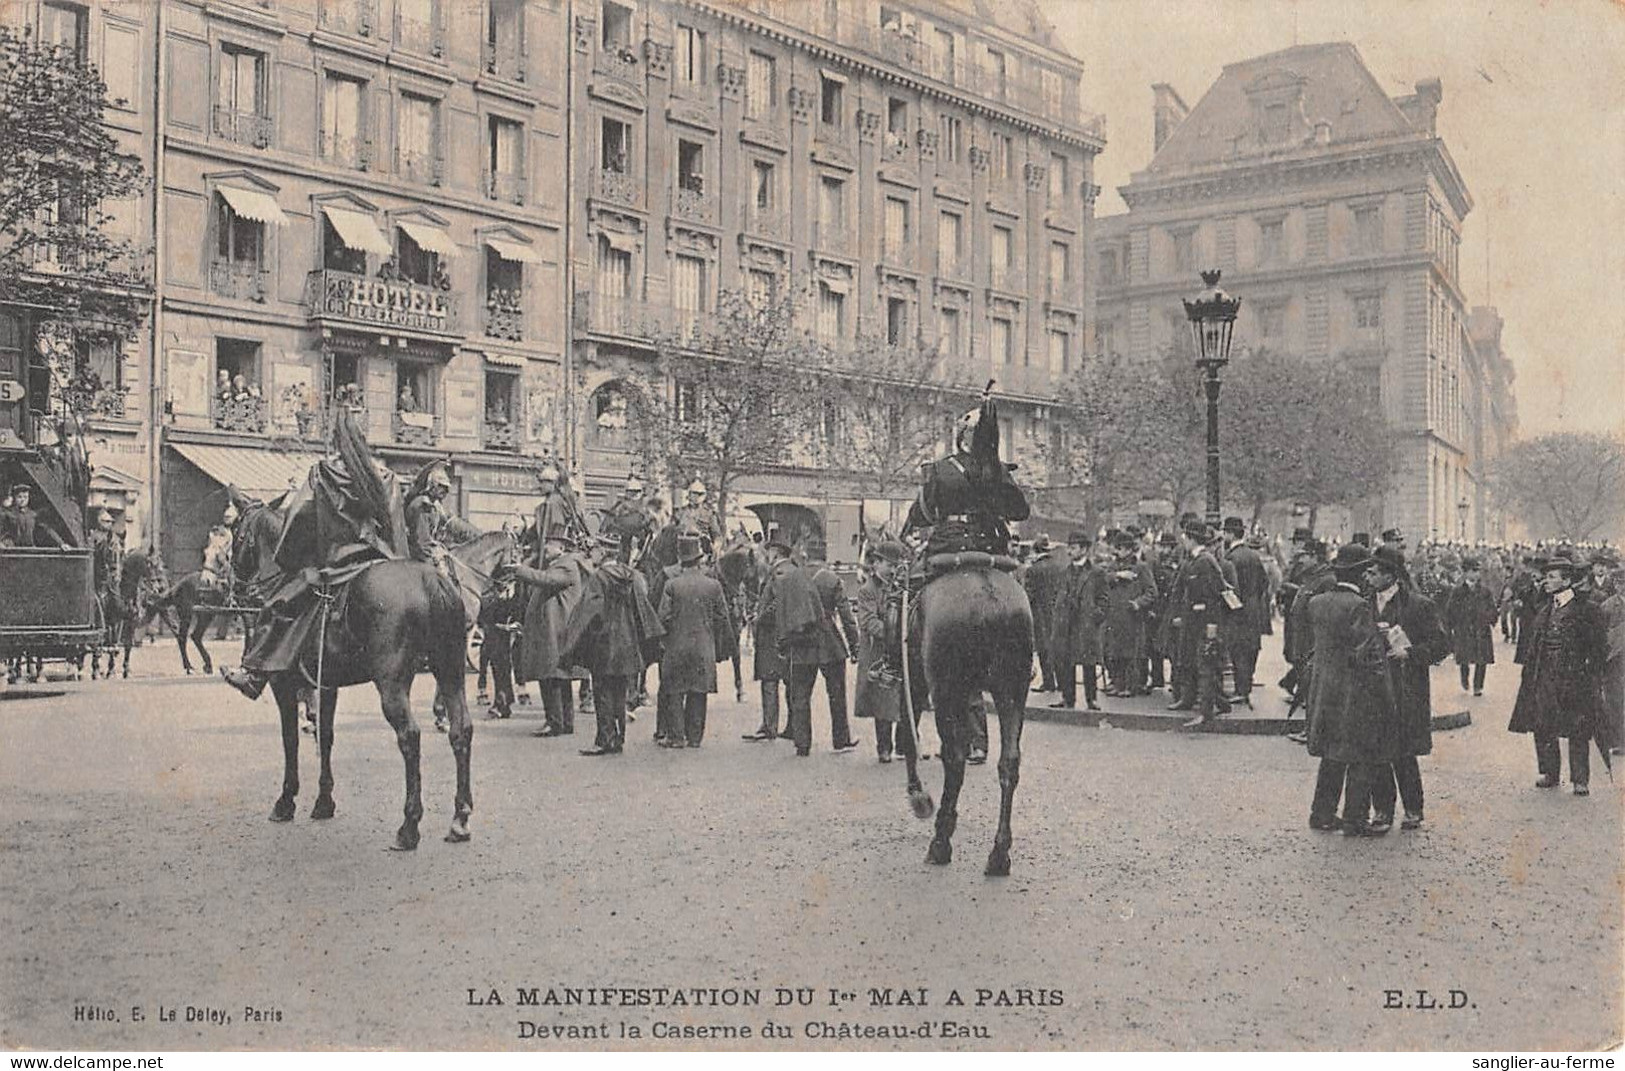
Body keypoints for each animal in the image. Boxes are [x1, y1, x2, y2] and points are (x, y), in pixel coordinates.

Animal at [897, 565, 1033, 877]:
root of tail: (990, 597)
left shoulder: (914, 678)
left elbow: (909, 733)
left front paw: (917, 794)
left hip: (948, 691)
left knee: (955, 759)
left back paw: (940, 841)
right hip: (1012, 690)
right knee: (1009, 763)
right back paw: (999, 854)